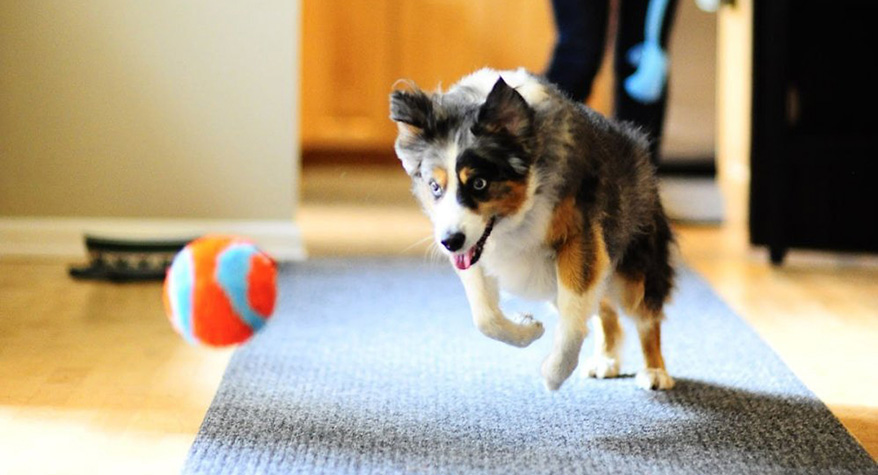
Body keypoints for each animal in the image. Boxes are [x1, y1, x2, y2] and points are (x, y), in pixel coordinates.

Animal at [390, 69, 672, 392]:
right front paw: (529, 327)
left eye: (479, 183)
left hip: (633, 270)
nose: (450, 242)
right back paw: (606, 359)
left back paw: (655, 371)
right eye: (435, 187)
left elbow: (574, 317)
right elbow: (485, 317)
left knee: (645, 317)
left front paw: (554, 373)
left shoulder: (580, 237)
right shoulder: (472, 248)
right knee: (605, 310)